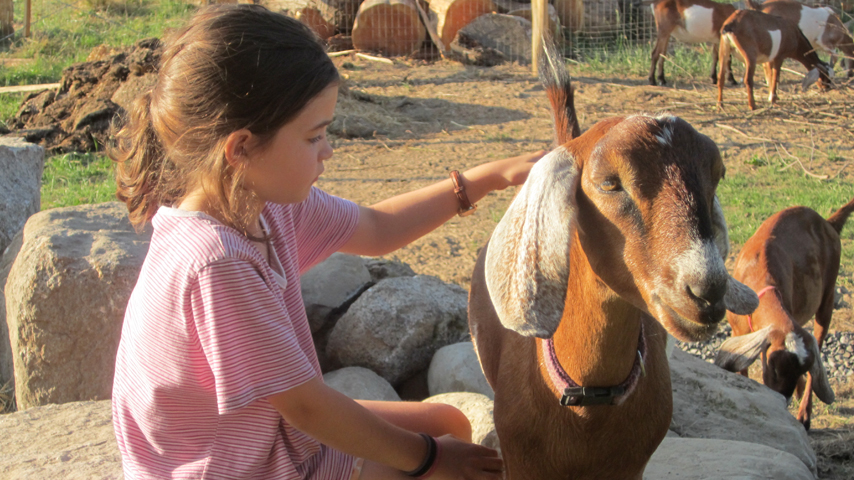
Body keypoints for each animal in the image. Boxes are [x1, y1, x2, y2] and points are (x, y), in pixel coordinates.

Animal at [716, 197, 854, 430]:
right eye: (774, 368)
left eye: (799, 370)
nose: (781, 399)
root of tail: (827, 223)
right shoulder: (738, 331)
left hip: (827, 297)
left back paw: (804, 414)